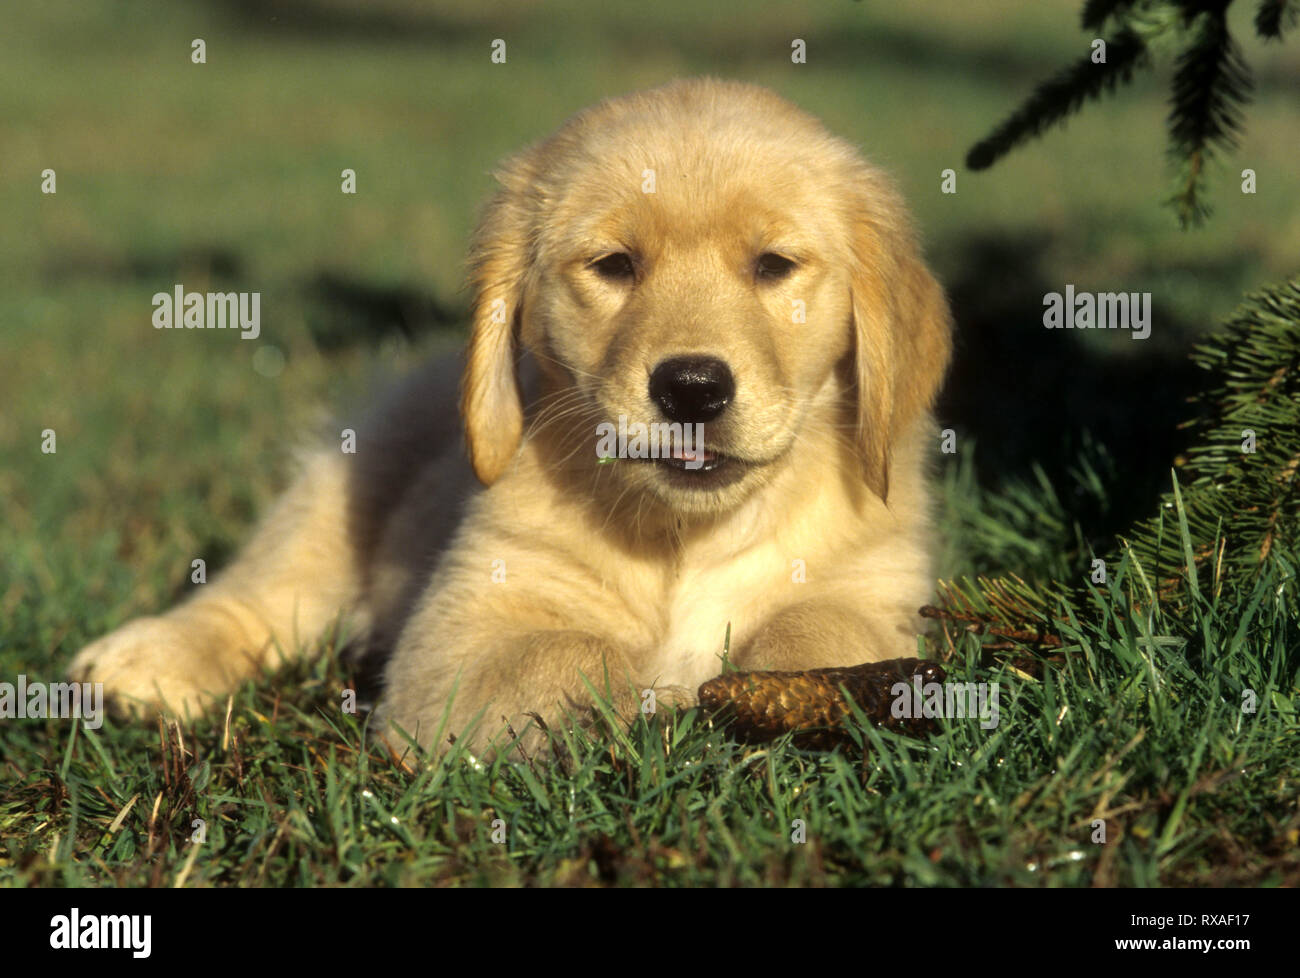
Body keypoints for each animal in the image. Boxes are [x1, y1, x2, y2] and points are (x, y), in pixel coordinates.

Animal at [65, 78, 951, 754]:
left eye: (773, 266)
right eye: (614, 266)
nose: (693, 388)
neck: (685, 535)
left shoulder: (879, 587)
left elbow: (820, 636)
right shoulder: (454, 638)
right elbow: (565, 651)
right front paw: (646, 693)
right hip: (351, 470)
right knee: (258, 593)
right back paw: (145, 659)